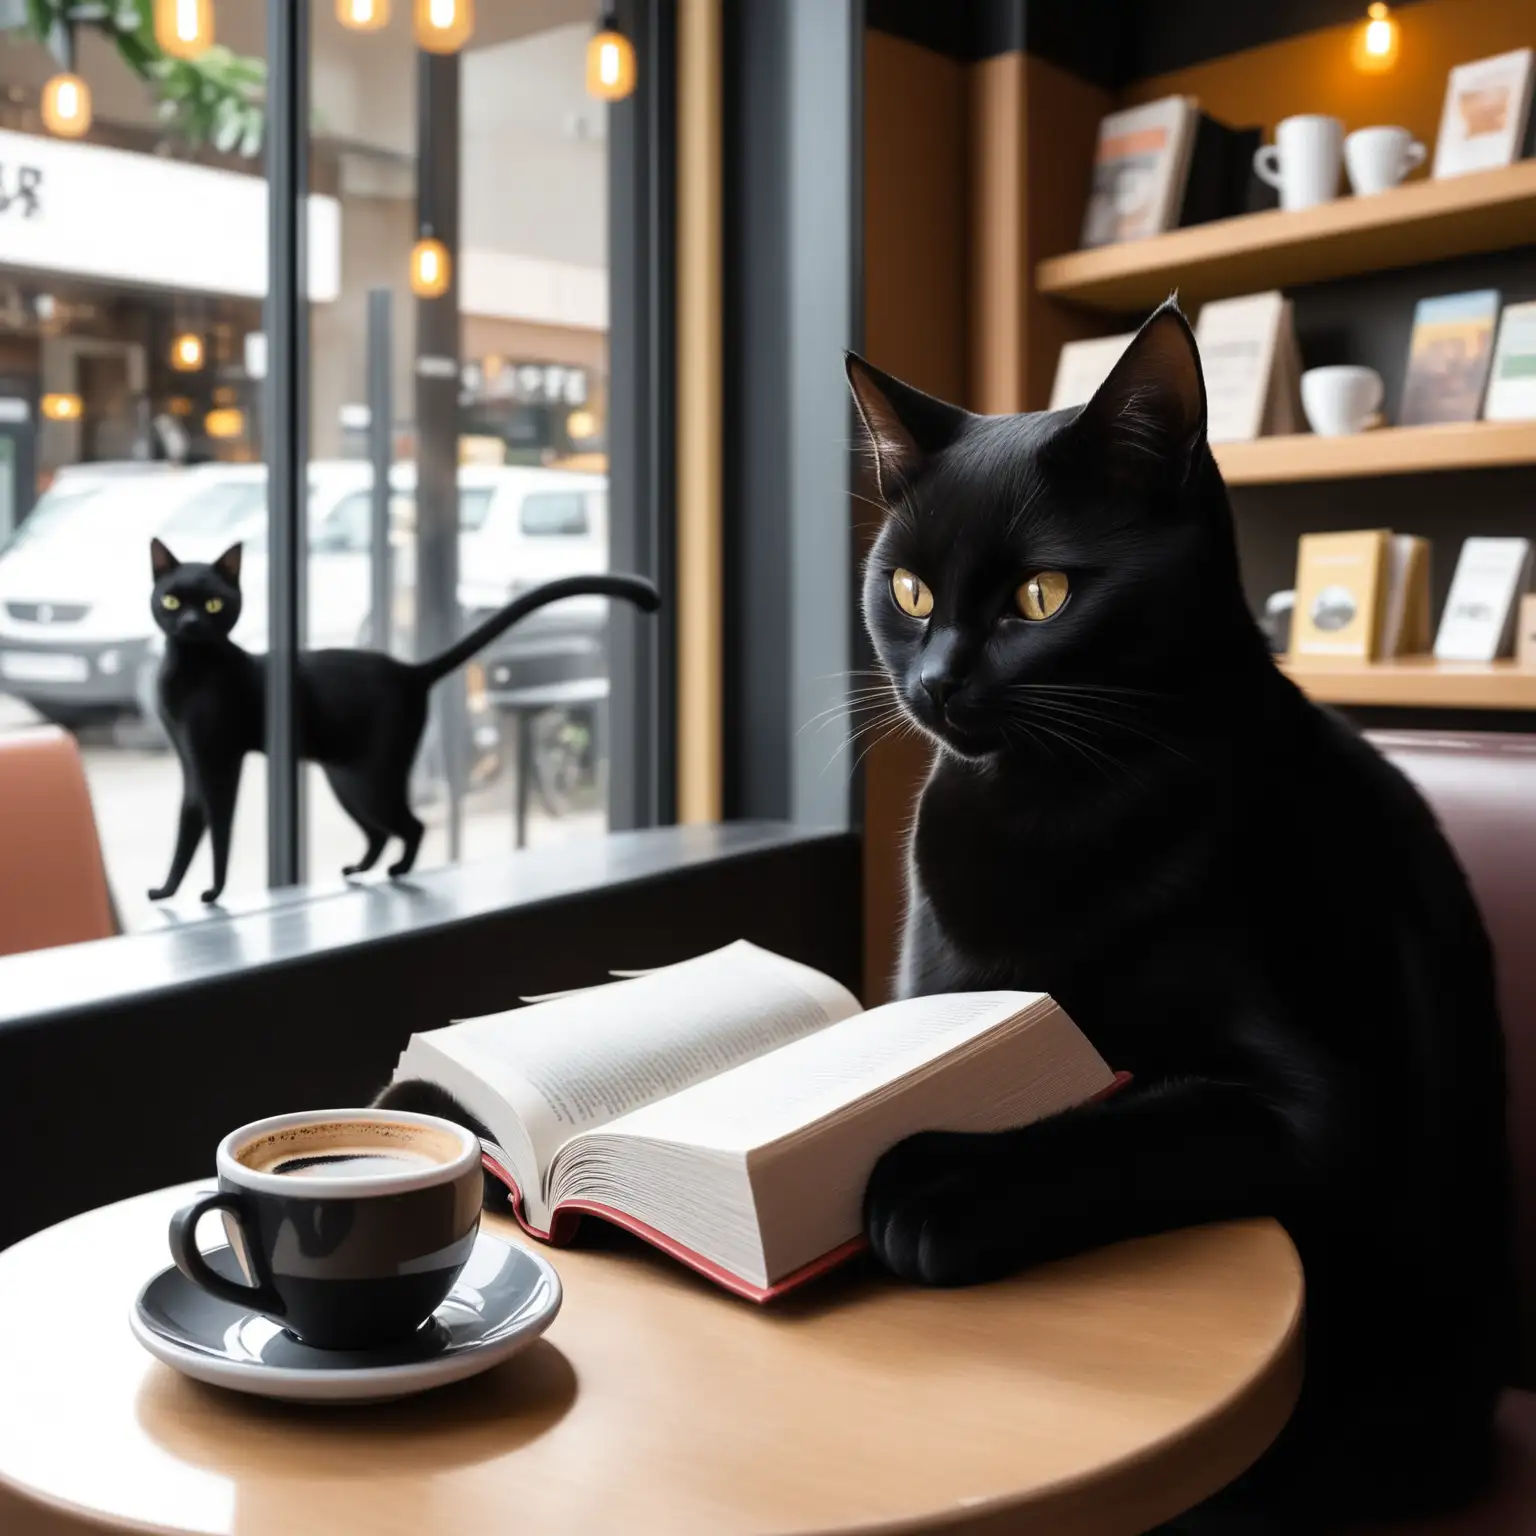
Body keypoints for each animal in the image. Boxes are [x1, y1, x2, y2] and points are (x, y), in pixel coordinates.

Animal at [138, 537, 654, 903]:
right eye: (171, 601)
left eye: (212, 605)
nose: (188, 624)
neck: (187, 673)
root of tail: (410, 670)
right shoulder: (191, 762)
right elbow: (189, 823)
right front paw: (167, 890)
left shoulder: (219, 758)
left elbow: (218, 826)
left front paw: (213, 893)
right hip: (346, 779)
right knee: (380, 831)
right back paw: (360, 869)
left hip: (372, 779)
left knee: (412, 826)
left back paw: (399, 871)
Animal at [847, 302, 1505, 1523]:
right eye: (909, 593)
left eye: (1042, 597)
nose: (939, 680)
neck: (1052, 803)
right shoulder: (933, 991)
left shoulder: (1313, 1101)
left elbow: (1108, 1123)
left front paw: (932, 1180)